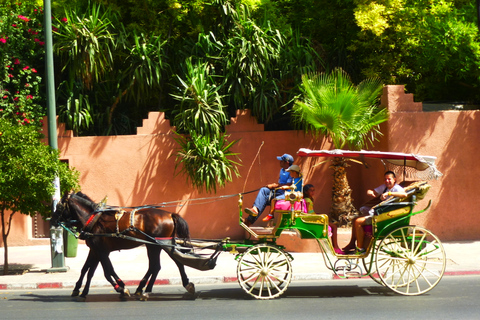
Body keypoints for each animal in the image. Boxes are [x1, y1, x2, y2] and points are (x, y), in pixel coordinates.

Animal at [52, 192, 193, 300]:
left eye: (59, 207)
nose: (52, 221)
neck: (94, 220)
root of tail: (170, 214)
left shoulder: (102, 251)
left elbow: (107, 272)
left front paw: (121, 288)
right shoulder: (95, 251)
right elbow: (87, 270)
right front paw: (80, 290)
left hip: (155, 246)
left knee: (156, 266)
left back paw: (146, 290)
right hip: (162, 245)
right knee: (175, 262)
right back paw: (184, 284)